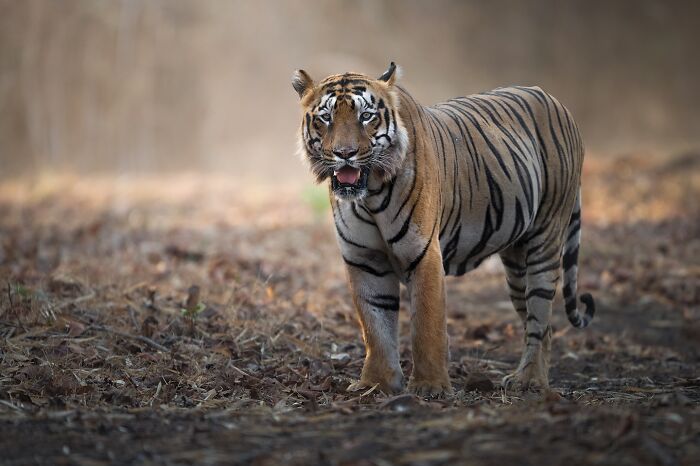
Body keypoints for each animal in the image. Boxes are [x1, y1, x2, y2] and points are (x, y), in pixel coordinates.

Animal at [292, 62, 595, 396]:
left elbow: (426, 324)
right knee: (541, 323)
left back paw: (529, 380)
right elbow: (375, 325)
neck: (369, 192)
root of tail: (556, 101)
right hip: (517, 261)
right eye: (325, 118)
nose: (345, 153)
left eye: (367, 116)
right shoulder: (364, 259)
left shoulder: (423, 253)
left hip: (546, 237)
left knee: (540, 313)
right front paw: (376, 383)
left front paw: (429, 386)